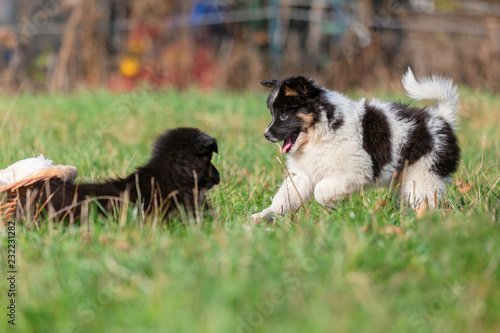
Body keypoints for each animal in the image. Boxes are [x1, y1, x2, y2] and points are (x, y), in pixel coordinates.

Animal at [252, 69, 458, 220]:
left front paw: (335, 204)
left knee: (425, 200)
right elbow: (285, 198)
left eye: (284, 115)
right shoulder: (302, 174)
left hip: (425, 174)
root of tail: (442, 119)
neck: (319, 132)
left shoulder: (353, 170)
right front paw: (263, 216)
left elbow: (320, 190)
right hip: (405, 178)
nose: (266, 135)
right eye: (272, 114)